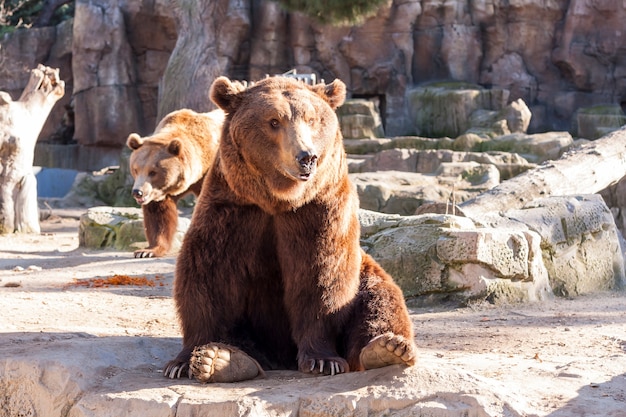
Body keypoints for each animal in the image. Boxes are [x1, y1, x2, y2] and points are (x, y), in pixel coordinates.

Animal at [125, 107, 223, 256]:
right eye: (136, 169)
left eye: (153, 172)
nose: (138, 192)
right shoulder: (160, 193)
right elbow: (158, 216)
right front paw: (147, 250)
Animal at [165, 75, 414, 380]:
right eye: (274, 121)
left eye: (312, 119)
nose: (307, 157)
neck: (279, 200)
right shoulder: (233, 209)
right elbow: (207, 274)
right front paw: (186, 360)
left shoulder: (319, 211)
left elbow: (320, 275)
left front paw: (323, 360)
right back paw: (223, 359)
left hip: (364, 270)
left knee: (381, 297)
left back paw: (387, 347)